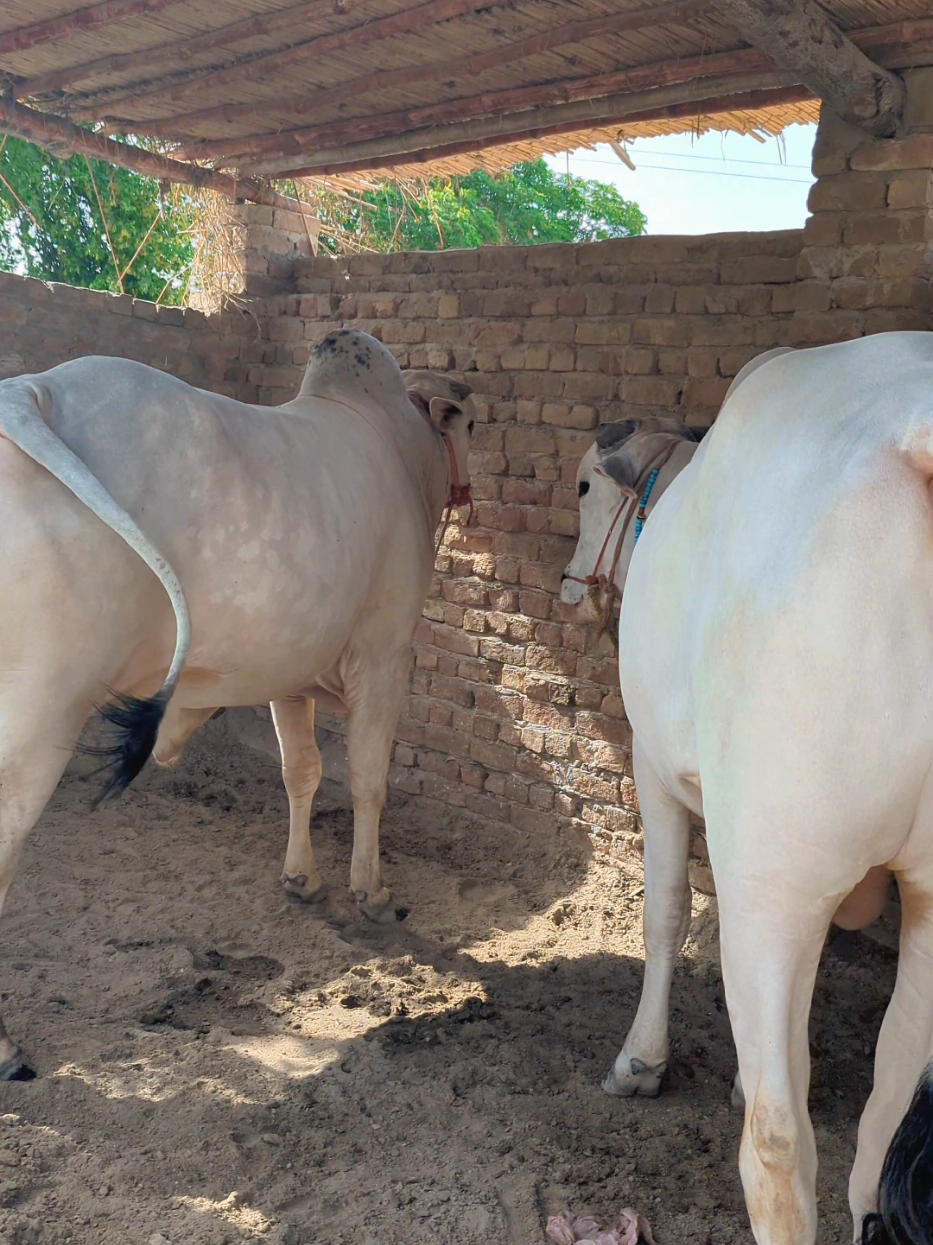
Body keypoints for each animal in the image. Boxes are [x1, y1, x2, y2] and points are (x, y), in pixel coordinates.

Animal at [0, 328, 473, 1081]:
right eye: (470, 424)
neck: (396, 443)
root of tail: (29, 389)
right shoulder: (385, 654)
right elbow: (367, 779)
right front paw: (370, 891)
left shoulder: (289, 670)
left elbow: (301, 772)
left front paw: (301, 879)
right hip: (40, 716)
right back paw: (7, 1048)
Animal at [560, 333, 933, 1245]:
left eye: (583, 485)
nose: (566, 587)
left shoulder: (654, 769)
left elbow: (664, 913)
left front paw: (641, 1060)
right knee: (883, 1117)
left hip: (774, 869)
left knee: (775, 1141)